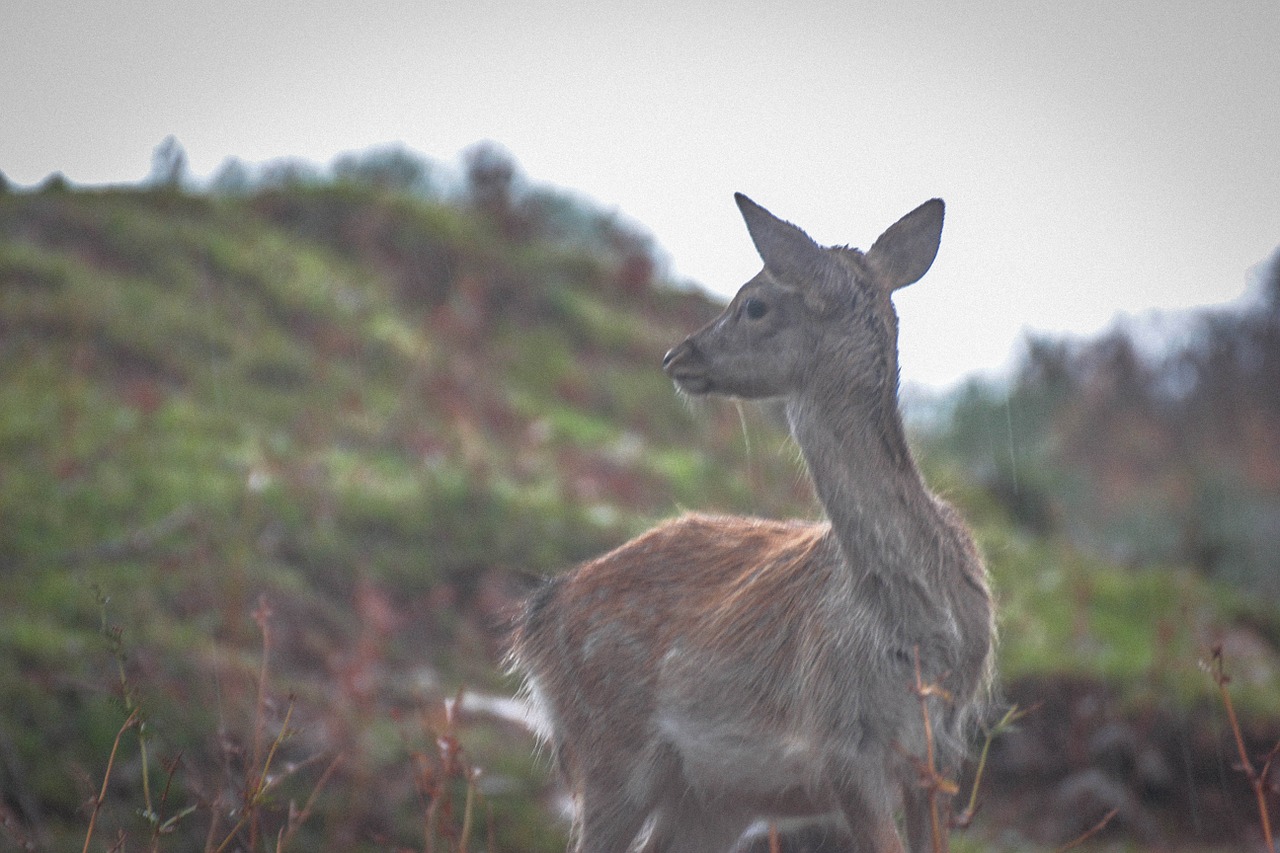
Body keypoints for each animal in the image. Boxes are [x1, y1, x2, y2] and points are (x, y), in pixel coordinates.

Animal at [504, 194, 993, 850]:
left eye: (755, 303)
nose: (676, 355)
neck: (922, 628)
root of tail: (537, 613)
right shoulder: (845, 748)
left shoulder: (941, 754)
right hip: (604, 753)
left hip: (711, 797)